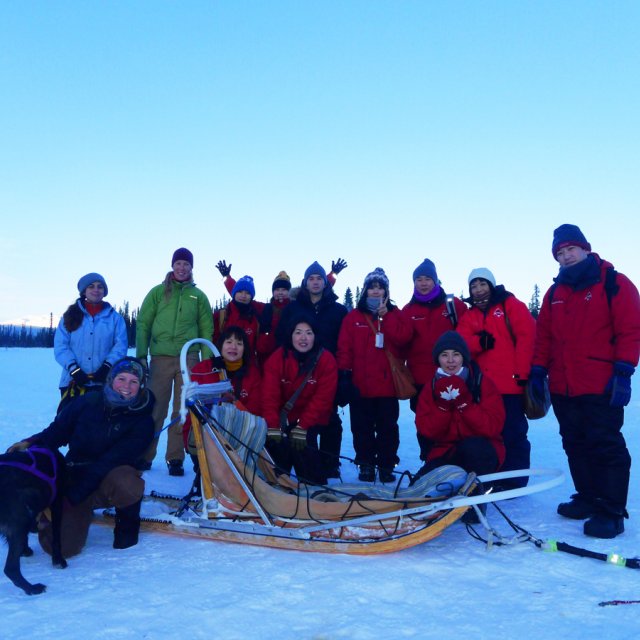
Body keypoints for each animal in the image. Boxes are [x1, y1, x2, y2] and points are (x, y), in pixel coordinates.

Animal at [0, 444, 68, 596]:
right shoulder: (57, 503)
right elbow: (56, 537)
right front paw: (58, 560)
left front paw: (25, 550)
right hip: (21, 521)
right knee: (10, 569)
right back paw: (32, 588)